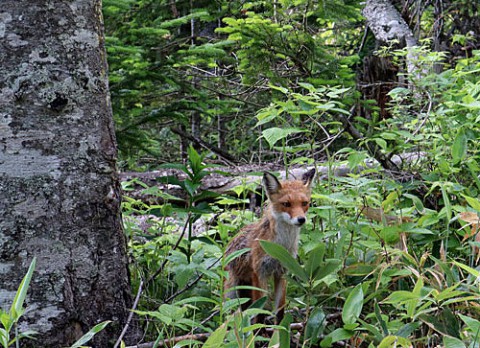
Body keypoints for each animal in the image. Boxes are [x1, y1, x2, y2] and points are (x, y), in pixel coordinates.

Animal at [224, 169, 316, 324]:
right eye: (286, 204)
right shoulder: (259, 272)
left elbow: (280, 311)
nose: (301, 219)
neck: (279, 248)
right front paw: (259, 331)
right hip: (233, 291)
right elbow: (259, 313)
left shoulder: (282, 272)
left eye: (304, 203)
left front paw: (280, 330)